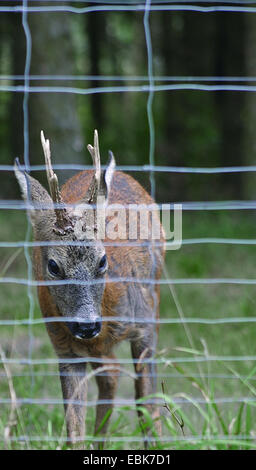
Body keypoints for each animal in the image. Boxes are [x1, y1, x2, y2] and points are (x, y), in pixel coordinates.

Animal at [14, 129, 166, 448]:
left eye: (103, 259)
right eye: (53, 265)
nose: (86, 325)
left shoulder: (145, 326)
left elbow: (149, 409)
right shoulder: (64, 347)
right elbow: (74, 430)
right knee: (110, 375)